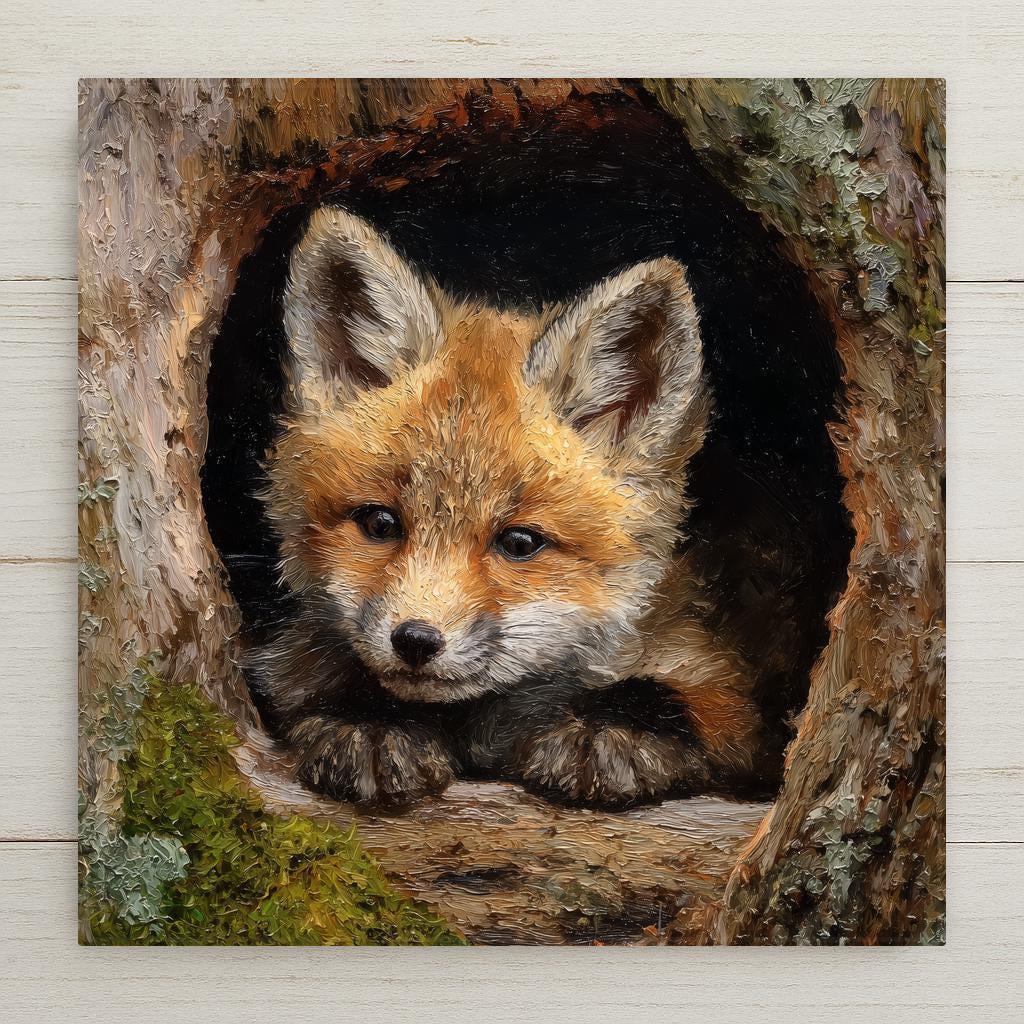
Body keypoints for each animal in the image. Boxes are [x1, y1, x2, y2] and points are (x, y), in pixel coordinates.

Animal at [247, 206, 765, 810]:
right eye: (380, 522)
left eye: (520, 543)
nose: (415, 640)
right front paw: (372, 723)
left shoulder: (708, 669)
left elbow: (678, 698)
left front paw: (610, 728)